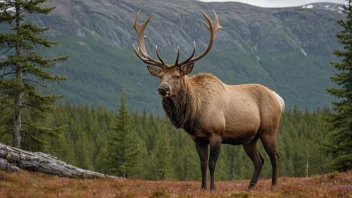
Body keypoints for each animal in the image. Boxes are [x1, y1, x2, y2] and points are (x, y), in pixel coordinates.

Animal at [131, 9, 284, 190]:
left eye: (177, 76)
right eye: (160, 76)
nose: (163, 89)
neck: (193, 112)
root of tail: (279, 99)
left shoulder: (216, 134)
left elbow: (212, 163)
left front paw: (212, 188)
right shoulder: (198, 139)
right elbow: (202, 164)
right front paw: (203, 187)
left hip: (269, 130)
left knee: (275, 157)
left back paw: (274, 185)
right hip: (250, 138)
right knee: (259, 160)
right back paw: (251, 186)